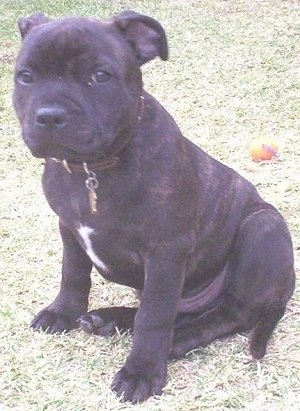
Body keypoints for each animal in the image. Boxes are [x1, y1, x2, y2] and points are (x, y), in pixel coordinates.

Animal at [13, 11, 296, 404]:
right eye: (26, 76)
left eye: (100, 76)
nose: (51, 115)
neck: (93, 170)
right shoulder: (69, 228)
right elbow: (73, 274)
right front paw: (63, 313)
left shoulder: (165, 252)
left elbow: (154, 316)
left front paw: (142, 372)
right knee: (180, 309)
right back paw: (110, 319)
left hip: (262, 227)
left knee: (229, 312)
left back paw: (176, 340)